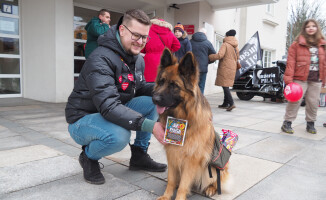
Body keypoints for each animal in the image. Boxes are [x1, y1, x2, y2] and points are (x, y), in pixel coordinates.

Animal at [153, 48, 228, 200]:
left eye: (174, 85)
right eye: (161, 82)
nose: (154, 98)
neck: (183, 117)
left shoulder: (191, 159)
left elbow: (183, 185)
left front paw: (179, 197)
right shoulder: (172, 154)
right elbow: (171, 180)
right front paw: (166, 195)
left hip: (212, 169)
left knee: (216, 181)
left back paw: (211, 188)